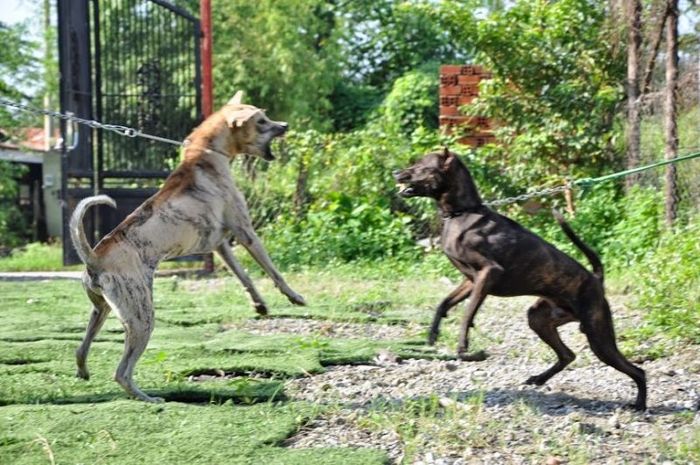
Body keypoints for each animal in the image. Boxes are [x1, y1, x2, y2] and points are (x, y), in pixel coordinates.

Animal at [70, 92, 306, 402]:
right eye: (261, 121)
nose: (285, 125)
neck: (205, 154)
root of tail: (94, 257)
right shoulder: (245, 232)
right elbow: (272, 271)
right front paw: (295, 297)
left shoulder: (220, 244)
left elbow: (243, 276)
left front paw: (259, 304)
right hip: (142, 315)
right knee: (121, 372)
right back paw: (148, 398)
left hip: (101, 310)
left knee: (80, 349)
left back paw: (84, 373)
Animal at [393, 148, 646, 410]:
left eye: (421, 166)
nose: (395, 172)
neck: (462, 213)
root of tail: (596, 279)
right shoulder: (471, 280)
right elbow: (443, 304)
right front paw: (432, 335)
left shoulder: (488, 273)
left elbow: (468, 312)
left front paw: (463, 346)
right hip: (540, 319)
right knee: (568, 355)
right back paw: (539, 379)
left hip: (599, 337)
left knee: (637, 370)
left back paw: (639, 404)